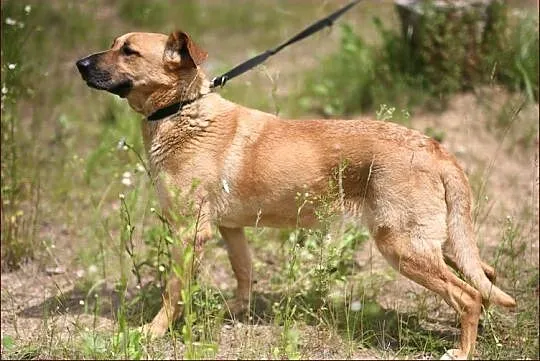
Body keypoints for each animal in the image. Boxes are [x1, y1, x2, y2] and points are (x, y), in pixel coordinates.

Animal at [75, 32, 516, 358]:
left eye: (128, 51)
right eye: (115, 44)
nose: (79, 64)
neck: (184, 111)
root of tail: (434, 147)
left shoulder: (190, 234)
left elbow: (173, 293)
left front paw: (153, 332)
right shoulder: (230, 229)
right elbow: (243, 273)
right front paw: (236, 312)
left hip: (403, 245)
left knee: (469, 296)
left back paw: (462, 350)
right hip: (435, 242)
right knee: (485, 277)